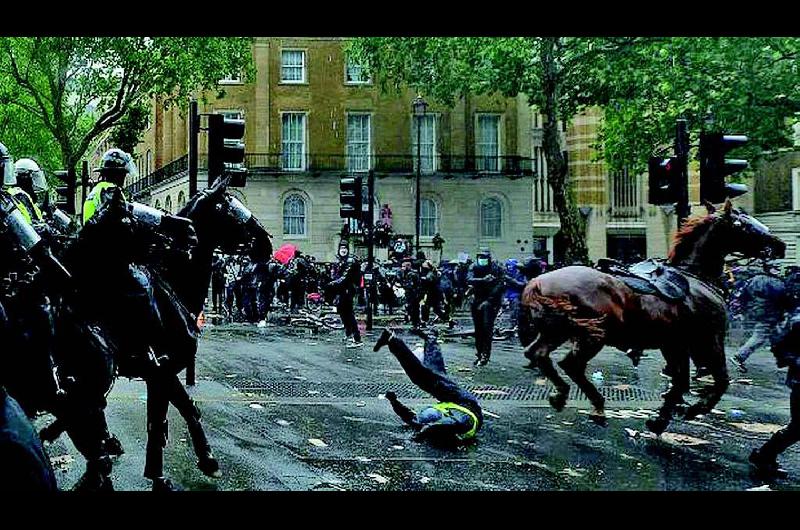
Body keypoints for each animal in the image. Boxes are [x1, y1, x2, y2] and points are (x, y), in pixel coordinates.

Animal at [520, 200, 788, 432]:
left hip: (556, 331)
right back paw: (596, 406)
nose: (780, 245)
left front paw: (661, 418)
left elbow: (681, 381)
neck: (695, 277)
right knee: (570, 364)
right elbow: (720, 380)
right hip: (592, 336)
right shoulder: (709, 340)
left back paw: (561, 394)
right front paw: (692, 410)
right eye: (745, 224)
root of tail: (537, 282)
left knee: (538, 354)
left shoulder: (674, 345)